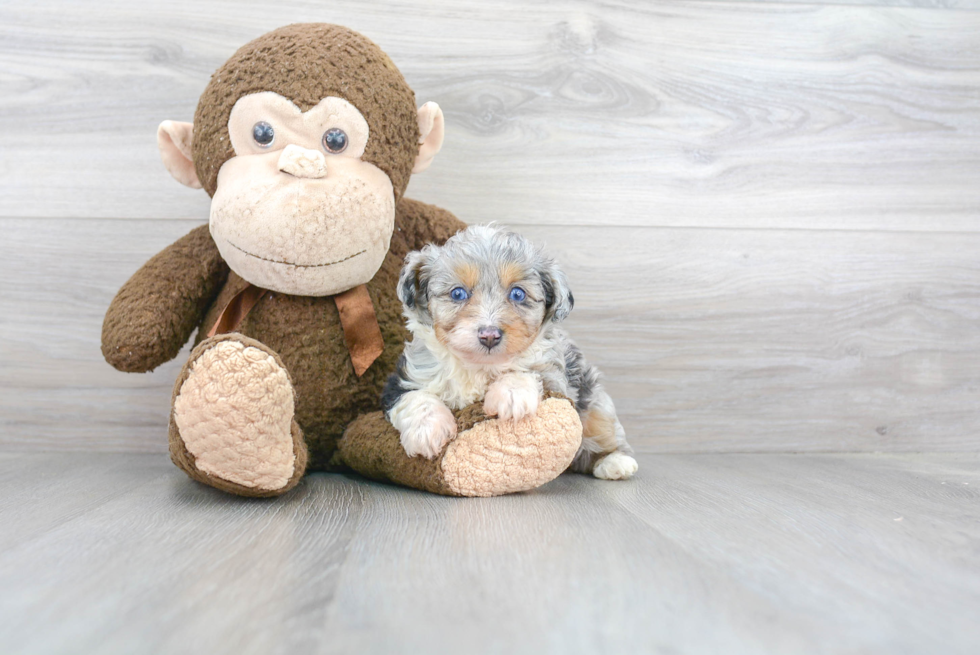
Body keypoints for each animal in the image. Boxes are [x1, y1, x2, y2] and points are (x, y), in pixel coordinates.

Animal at [378, 226, 640, 482]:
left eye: (517, 294)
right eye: (457, 294)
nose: (489, 335)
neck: (479, 365)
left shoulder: (557, 380)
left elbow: (528, 373)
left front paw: (511, 394)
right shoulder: (403, 379)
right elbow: (415, 397)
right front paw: (426, 430)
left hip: (595, 403)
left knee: (605, 432)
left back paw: (616, 462)